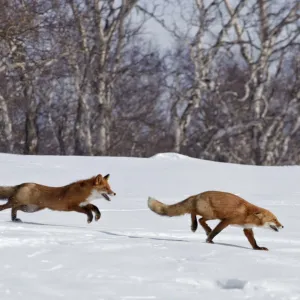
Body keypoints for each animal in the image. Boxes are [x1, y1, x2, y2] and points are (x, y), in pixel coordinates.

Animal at [148, 190, 284, 251]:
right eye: (274, 219)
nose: (283, 226)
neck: (247, 213)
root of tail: (197, 195)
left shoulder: (247, 228)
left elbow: (253, 241)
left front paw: (258, 248)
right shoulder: (226, 221)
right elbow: (216, 232)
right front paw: (209, 240)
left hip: (210, 215)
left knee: (199, 217)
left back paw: (202, 228)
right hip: (211, 215)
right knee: (195, 214)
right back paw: (195, 226)